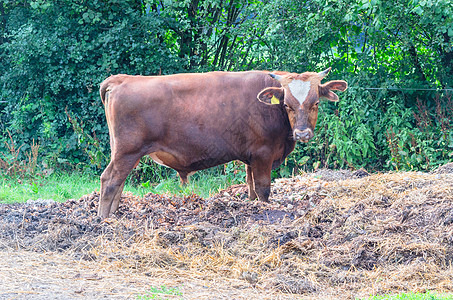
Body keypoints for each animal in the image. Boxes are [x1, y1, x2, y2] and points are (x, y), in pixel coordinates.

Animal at [98, 68, 346, 218]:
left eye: (315, 103)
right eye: (287, 104)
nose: (302, 133)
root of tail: (123, 78)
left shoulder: (251, 158)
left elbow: (251, 188)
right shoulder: (263, 154)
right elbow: (263, 189)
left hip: (124, 152)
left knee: (118, 183)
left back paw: (114, 216)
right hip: (128, 150)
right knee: (110, 180)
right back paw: (104, 220)